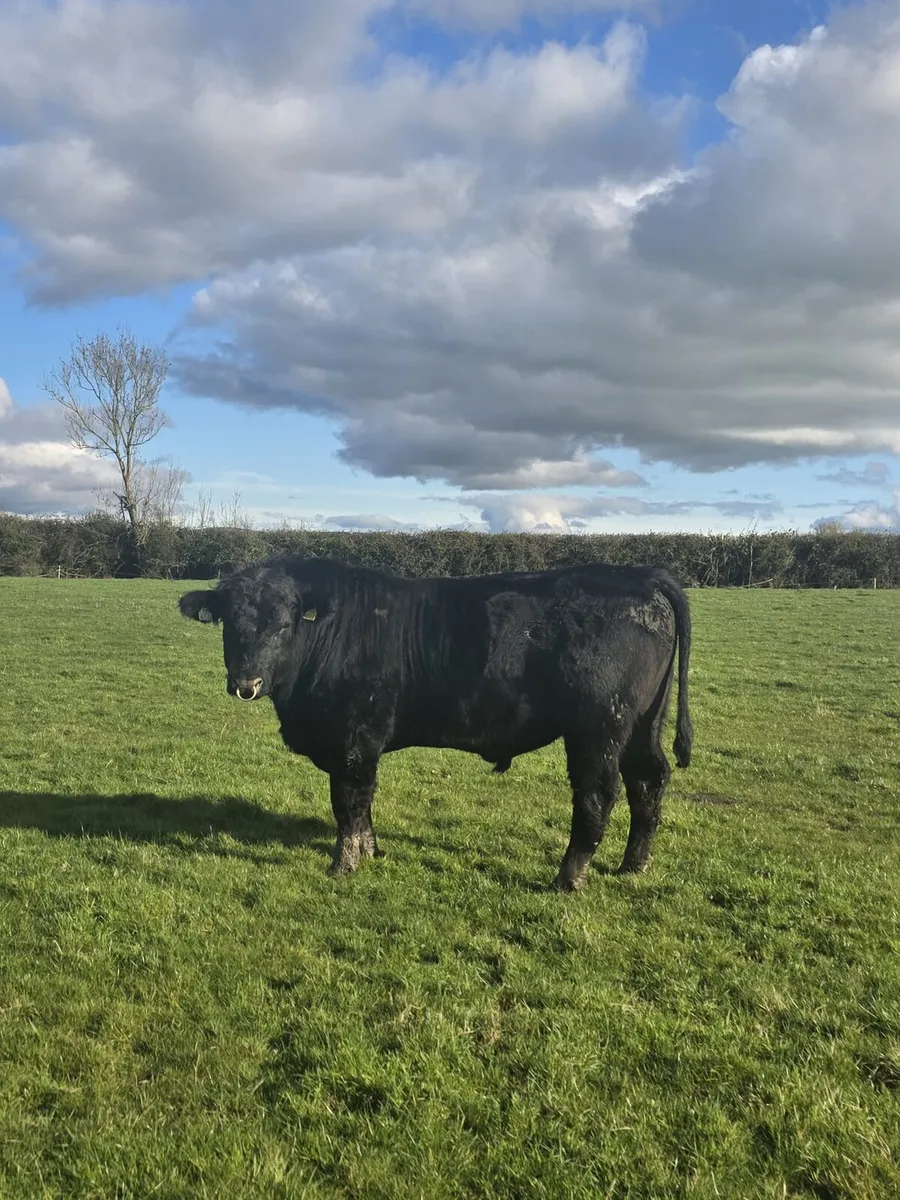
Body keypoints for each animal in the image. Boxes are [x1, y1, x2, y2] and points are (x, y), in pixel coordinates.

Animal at [178, 555, 693, 891]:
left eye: (283, 623)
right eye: (229, 622)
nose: (246, 682)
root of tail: (640, 575)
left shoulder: (353, 739)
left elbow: (348, 803)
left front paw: (344, 865)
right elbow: (364, 804)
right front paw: (371, 851)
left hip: (598, 727)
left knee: (597, 794)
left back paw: (568, 878)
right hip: (644, 722)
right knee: (648, 780)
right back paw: (633, 865)